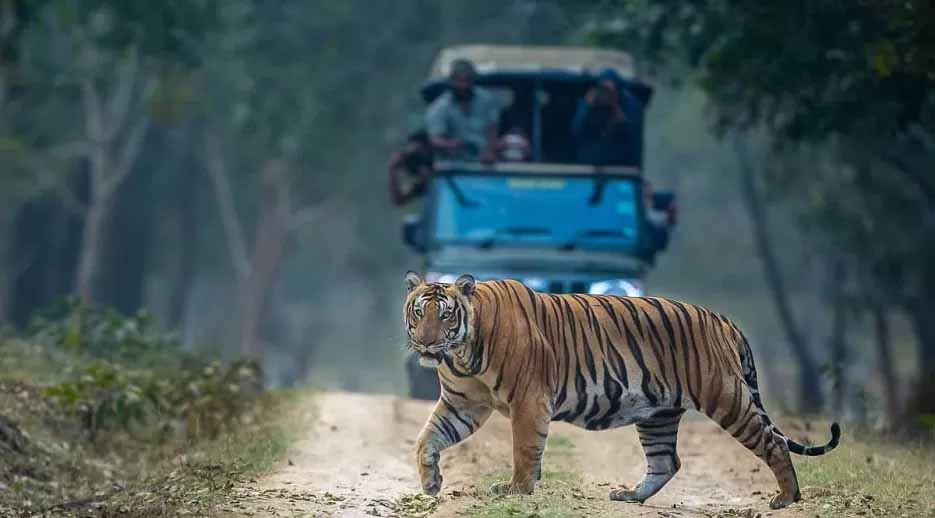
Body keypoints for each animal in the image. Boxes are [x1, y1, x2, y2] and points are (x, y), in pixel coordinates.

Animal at [406, 274, 844, 510]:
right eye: (418, 312)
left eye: (445, 315)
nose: (426, 343)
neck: (462, 353)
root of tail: (722, 319)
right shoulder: (462, 404)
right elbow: (427, 438)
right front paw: (431, 483)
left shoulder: (529, 400)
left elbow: (524, 448)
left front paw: (517, 489)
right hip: (658, 413)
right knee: (666, 461)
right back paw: (631, 495)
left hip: (726, 397)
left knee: (773, 442)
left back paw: (787, 497)